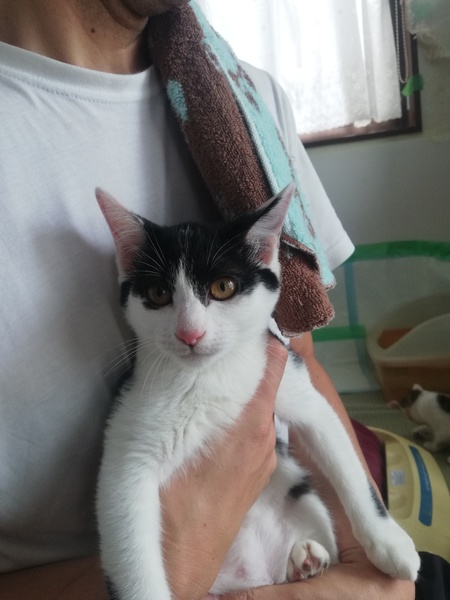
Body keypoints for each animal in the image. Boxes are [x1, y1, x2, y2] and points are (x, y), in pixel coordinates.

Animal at [95, 184, 420, 600]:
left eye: (223, 287)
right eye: (158, 293)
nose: (190, 333)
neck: (208, 374)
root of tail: (254, 575)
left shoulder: (291, 380)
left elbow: (347, 465)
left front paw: (389, 543)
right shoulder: (127, 442)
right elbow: (129, 535)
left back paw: (305, 561)